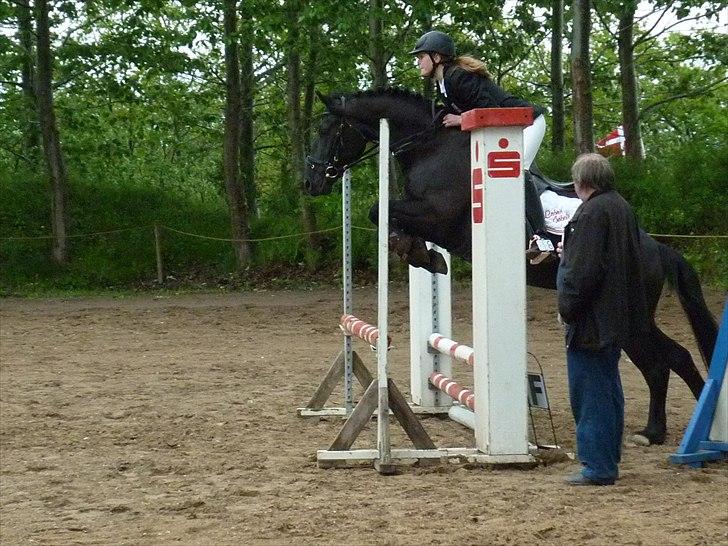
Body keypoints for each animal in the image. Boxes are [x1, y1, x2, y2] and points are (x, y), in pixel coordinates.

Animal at [304, 87, 720, 444]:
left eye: (326, 130)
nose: (310, 182)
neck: (430, 147)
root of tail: (656, 248)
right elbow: (389, 218)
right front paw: (420, 253)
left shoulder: (438, 216)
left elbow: (380, 211)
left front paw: (419, 252)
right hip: (635, 317)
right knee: (671, 359)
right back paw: (676, 432)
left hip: (629, 315)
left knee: (664, 361)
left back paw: (683, 431)